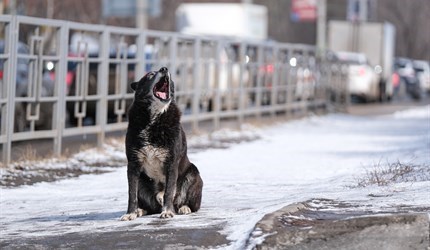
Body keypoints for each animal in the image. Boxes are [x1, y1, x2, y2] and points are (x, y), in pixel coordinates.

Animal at [120, 67, 202, 221]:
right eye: (150, 75)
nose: (164, 69)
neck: (154, 119)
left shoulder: (171, 163)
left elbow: (169, 191)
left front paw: (168, 212)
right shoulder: (133, 165)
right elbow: (131, 194)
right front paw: (130, 213)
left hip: (193, 175)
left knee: (188, 204)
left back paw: (184, 208)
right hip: (142, 181)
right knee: (151, 207)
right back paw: (140, 210)